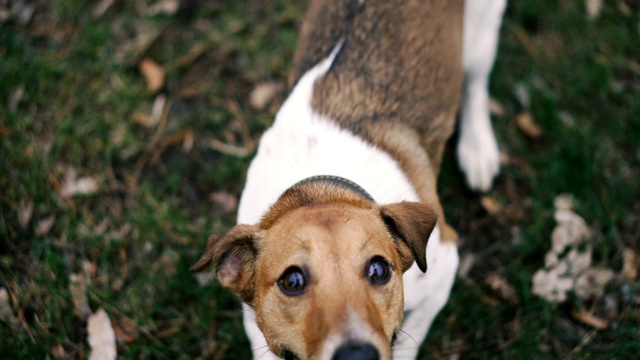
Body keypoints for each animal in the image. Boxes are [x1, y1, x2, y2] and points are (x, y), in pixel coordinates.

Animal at [190, 1, 504, 358]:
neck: (320, 187)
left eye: (379, 269)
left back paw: (477, 148)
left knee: (475, 81)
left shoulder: (442, 270)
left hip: (480, 34)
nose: (357, 355)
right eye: (292, 281)